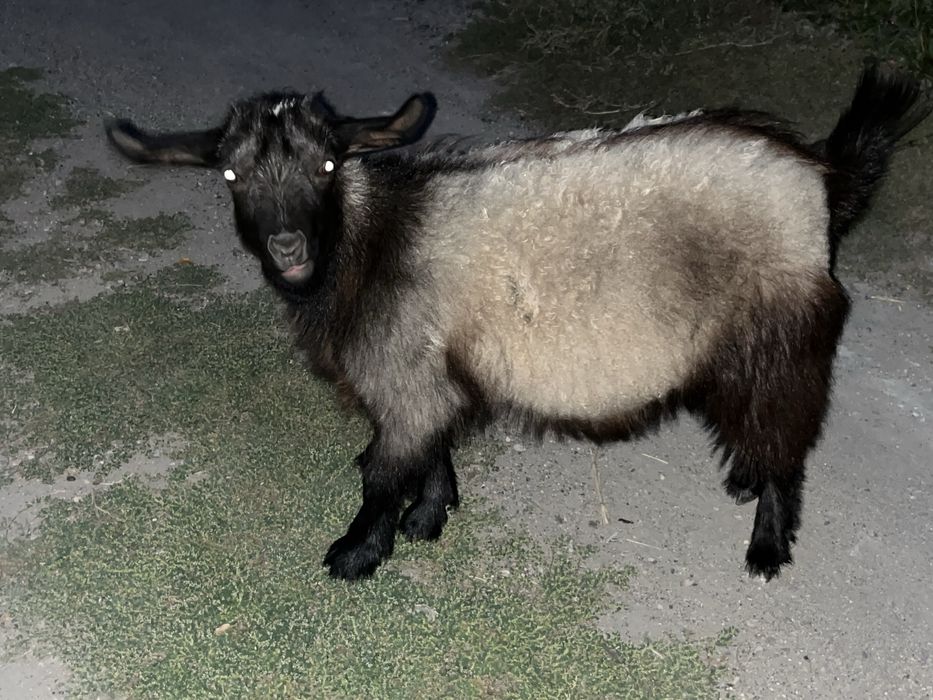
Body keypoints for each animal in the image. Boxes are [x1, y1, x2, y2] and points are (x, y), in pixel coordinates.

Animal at [106, 64, 930, 581]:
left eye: (328, 166)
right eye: (231, 173)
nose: (288, 247)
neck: (369, 240)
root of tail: (818, 176)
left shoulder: (402, 375)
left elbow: (383, 470)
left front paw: (357, 554)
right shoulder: (429, 371)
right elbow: (430, 449)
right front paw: (429, 516)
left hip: (781, 333)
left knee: (786, 435)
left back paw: (765, 545)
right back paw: (742, 479)